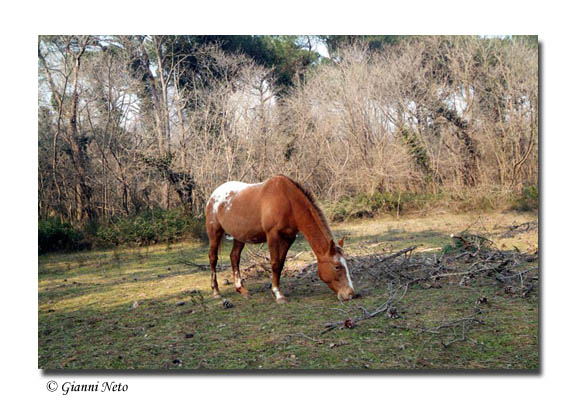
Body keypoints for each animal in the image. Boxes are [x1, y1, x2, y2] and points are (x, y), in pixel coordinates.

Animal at [205, 175, 354, 302]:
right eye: (337, 267)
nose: (351, 293)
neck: (288, 201)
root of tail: (214, 195)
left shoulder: (289, 238)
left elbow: (281, 263)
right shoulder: (273, 235)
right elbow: (275, 263)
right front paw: (278, 294)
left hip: (239, 236)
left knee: (234, 257)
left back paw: (241, 290)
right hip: (214, 233)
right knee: (213, 258)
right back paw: (216, 291)